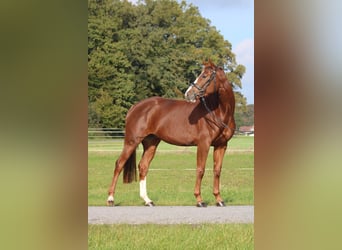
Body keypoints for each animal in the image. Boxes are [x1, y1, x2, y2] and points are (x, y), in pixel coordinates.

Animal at [107, 61, 235, 207]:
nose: (188, 94)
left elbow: (217, 170)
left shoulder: (221, 145)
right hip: (131, 141)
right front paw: (199, 200)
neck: (218, 112)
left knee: (143, 166)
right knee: (119, 164)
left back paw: (147, 200)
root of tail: (135, 107)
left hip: (151, 143)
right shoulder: (204, 144)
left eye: (205, 76)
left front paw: (219, 199)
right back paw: (110, 199)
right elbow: (200, 169)